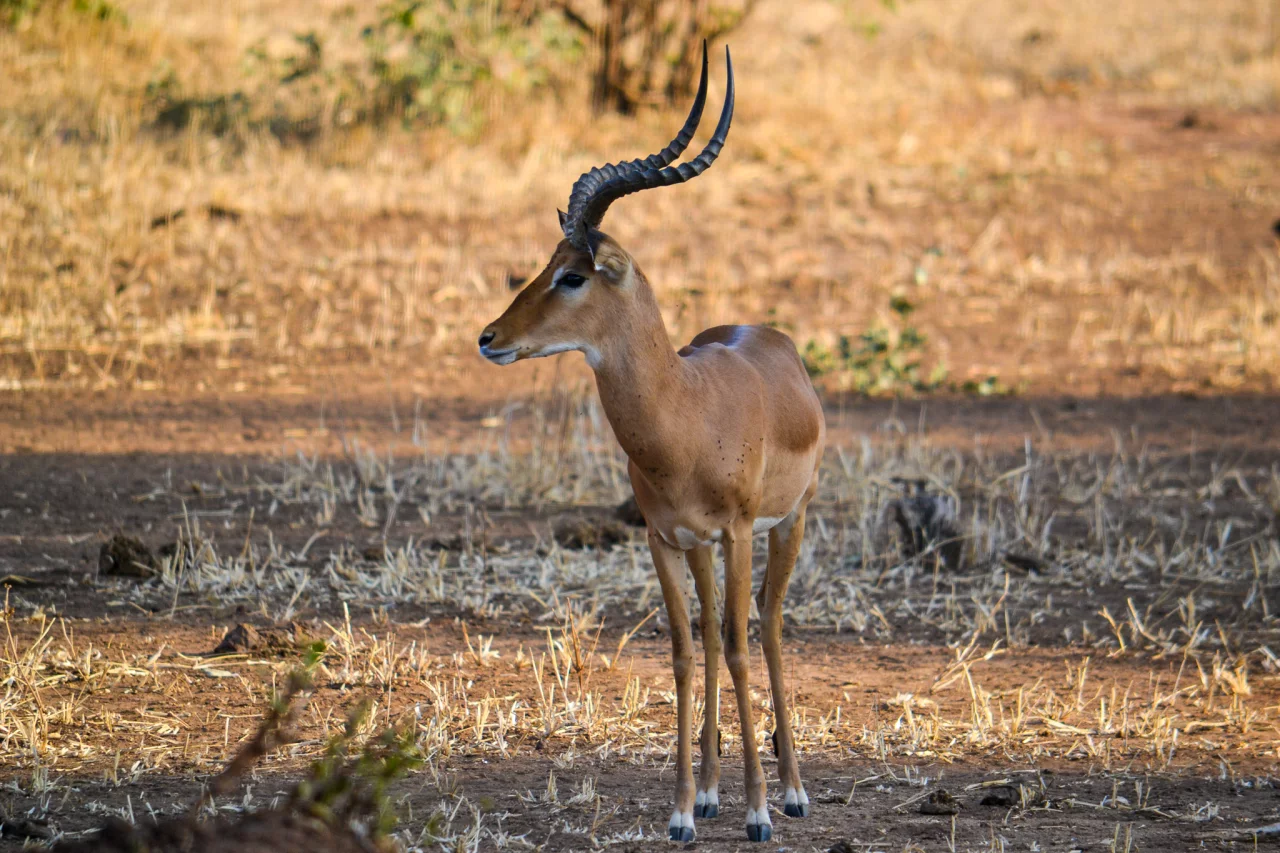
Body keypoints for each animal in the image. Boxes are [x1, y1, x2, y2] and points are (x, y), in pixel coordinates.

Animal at [478, 43, 824, 843]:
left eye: (573, 274)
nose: (490, 337)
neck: (684, 415)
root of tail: (773, 340)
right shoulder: (664, 538)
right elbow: (683, 651)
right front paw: (682, 811)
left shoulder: (736, 531)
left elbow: (738, 645)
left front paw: (760, 812)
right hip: (702, 548)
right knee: (713, 631)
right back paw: (713, 793)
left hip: (786, 524)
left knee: (767, 626)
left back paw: (791, 792)